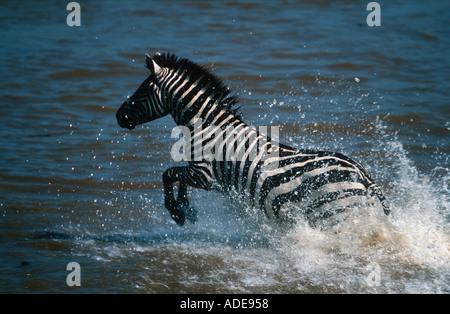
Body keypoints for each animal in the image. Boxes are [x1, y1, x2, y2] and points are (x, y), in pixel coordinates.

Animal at [117, 52, 390, 227]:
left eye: (141, 91)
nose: (118, 116)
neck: (208, 126)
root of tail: (363, 176)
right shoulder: (201, 175)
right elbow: (177, 179)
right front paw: (187, 209)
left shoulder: (204, 175)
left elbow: (168, 174)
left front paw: (177, 213)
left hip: (334, 213)